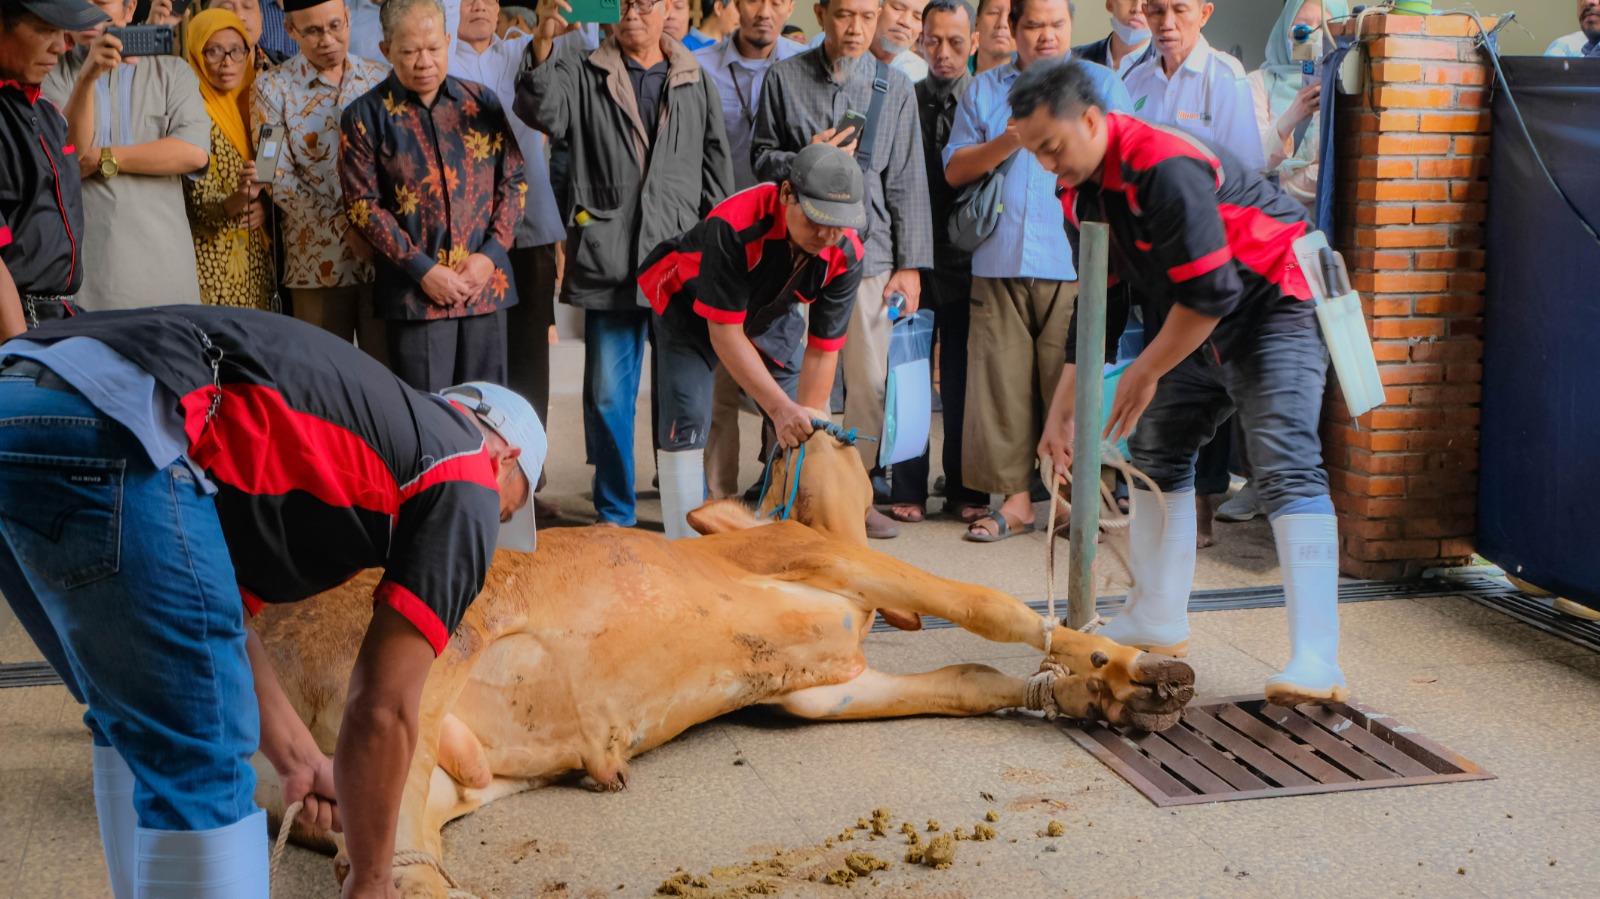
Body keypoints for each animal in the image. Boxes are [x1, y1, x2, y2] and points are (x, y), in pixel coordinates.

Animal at [249, 422, 1196, 895]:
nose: (808, 428)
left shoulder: (822, 689)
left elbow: (968, 679)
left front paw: (1092, 694)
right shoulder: (819, 559)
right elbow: (992, 610)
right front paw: (1130, 666)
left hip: (453, 778)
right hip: (423, 662)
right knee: (392, 864)